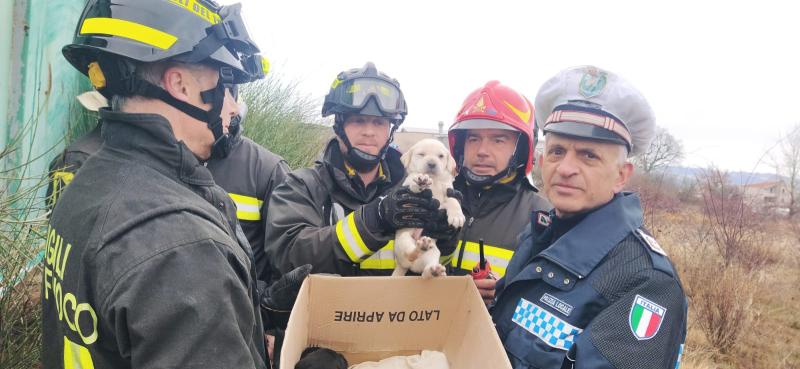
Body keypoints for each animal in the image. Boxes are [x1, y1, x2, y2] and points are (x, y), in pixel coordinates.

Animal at [392, 137, 466, 276]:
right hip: (403, 240)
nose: (432, 164)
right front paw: (421, 181)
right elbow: (414, 185)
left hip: (434, 253)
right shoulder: (409, 186)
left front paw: (457, 216)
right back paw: (420, 247)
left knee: (424, 272)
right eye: (421, 154)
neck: (434, 180)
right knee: (410, 253)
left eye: (440, 156)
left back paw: (435, 270)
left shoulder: (447, 193)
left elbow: (453, 200)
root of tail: (404, 266)